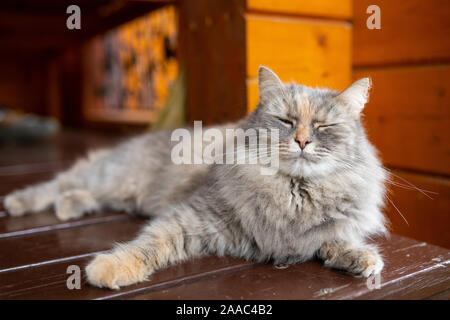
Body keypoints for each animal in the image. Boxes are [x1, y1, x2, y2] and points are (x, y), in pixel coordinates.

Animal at [3, 67, 386, 290]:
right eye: (286, 121)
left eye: (325, 127)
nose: (303, 141)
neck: (292, 193)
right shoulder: (193, 216)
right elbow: (147, 245)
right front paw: (110, 269)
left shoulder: (318, 231)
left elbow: (333, 238)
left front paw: (362, 259)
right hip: (109, 177)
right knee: (57, 184)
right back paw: (17, 203)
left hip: (117, 192)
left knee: (78, 193)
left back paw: (68, 207)